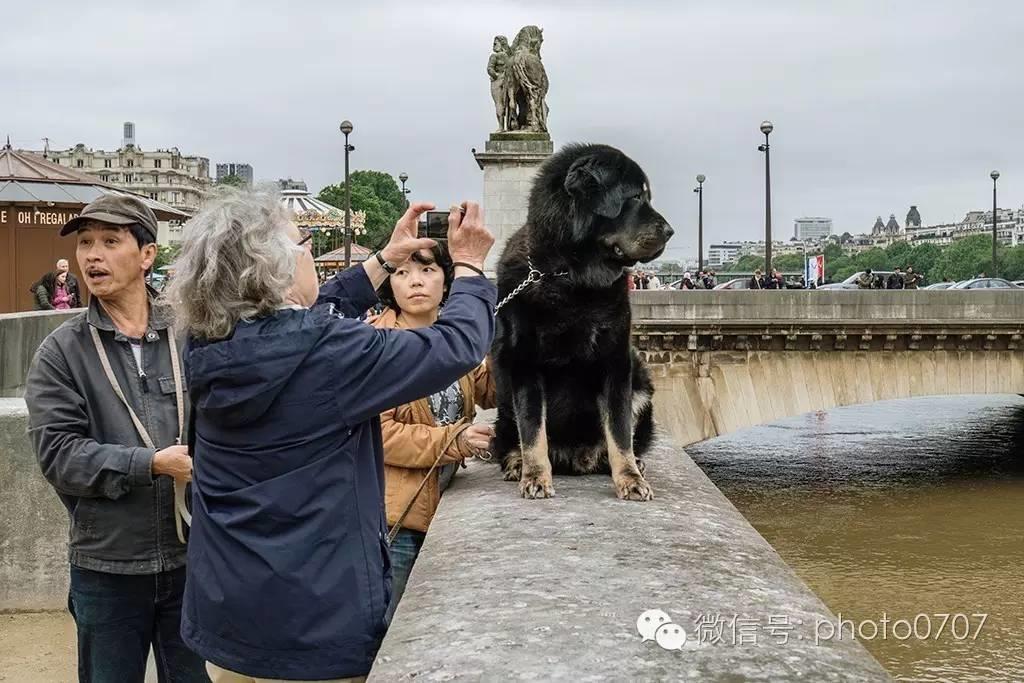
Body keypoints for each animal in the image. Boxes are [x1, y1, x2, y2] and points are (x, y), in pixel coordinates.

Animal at [493, 141, 675, 499]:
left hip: (641, 385)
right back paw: (517, 462)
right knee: (510, 440)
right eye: (635, 197)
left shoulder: (616, 363)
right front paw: (535, 475)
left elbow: (619, 432)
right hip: (505, 399)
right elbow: (532, 431)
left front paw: (630, 477)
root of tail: (574, 457)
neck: (569, 276)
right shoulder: (524, 365)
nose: (670, 231)